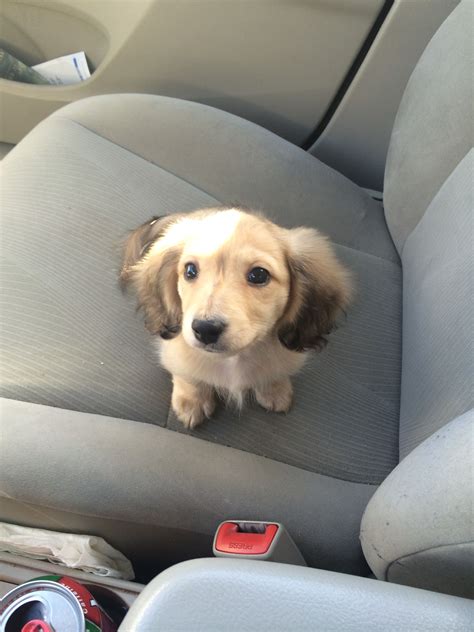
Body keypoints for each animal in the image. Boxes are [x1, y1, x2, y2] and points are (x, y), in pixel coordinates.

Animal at [121, 207, 352, 430]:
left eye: (259, 275)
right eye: (190, 270)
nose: (205, 329)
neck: (234, 359)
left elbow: (275, 374)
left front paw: (275, 390)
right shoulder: (176, 354)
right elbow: (189, 378)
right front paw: (192, 402)